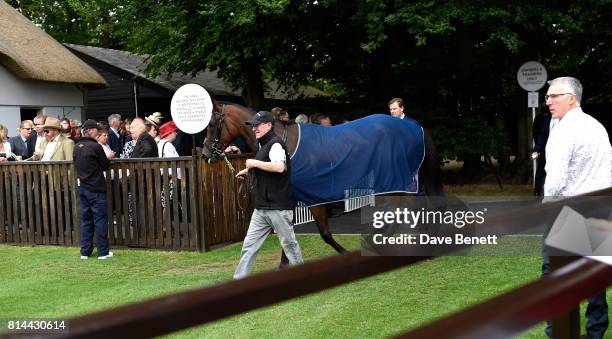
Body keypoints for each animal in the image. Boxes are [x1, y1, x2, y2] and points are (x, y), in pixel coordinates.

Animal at [202, 101, 444, 260]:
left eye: (212, 125)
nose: (205, 155)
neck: (284, 143)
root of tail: (416, 127)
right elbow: (291, 236)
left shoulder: (311, 198)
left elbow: (322, 233)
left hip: (396, 181)